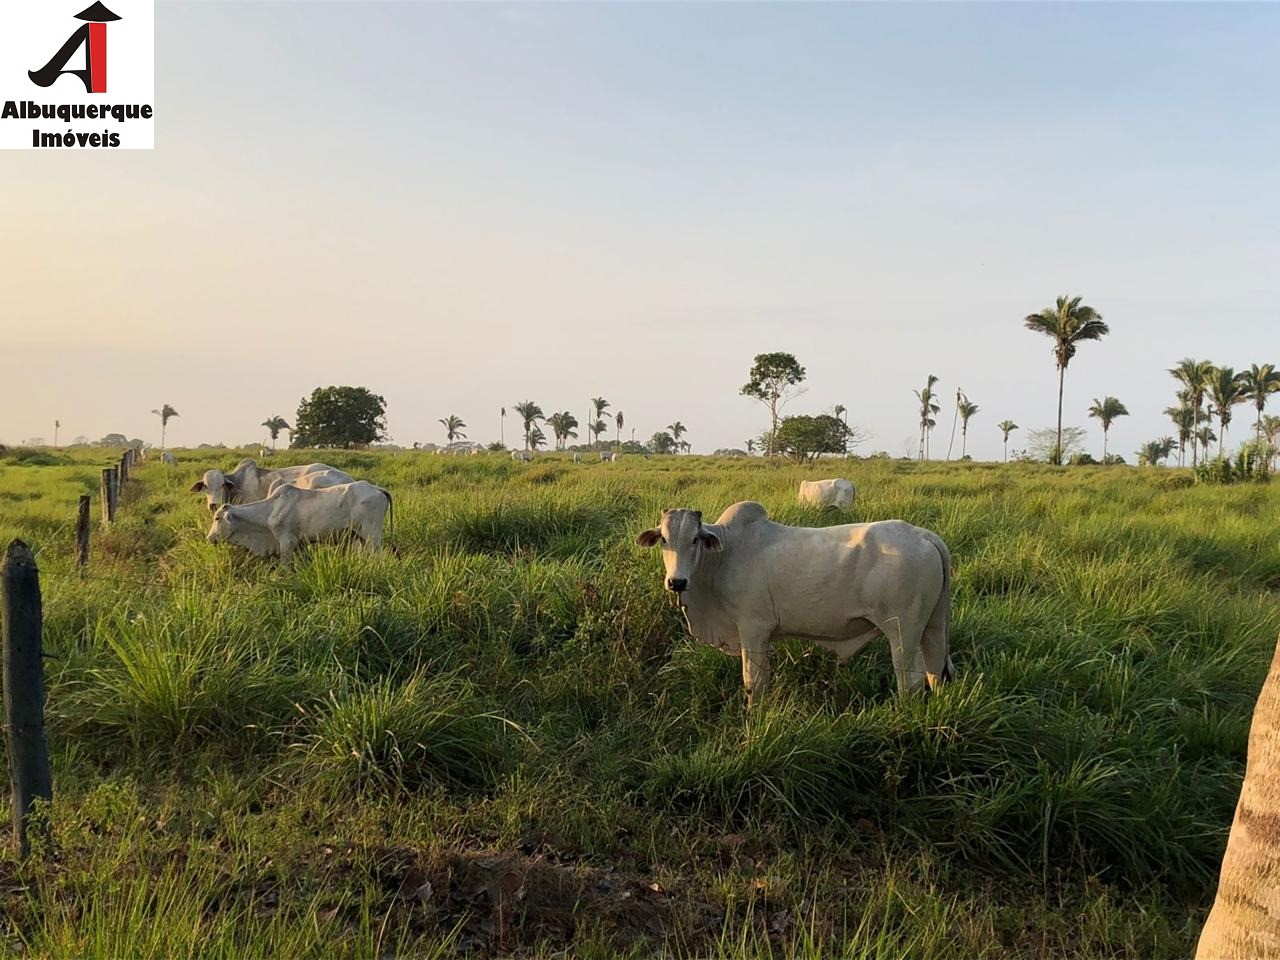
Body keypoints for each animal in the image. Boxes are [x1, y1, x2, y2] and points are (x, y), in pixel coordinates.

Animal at [206, 481, 389, 563]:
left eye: (217, 518)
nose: (209, 538)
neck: (270, 509)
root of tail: (377, 488)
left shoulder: (287, 541)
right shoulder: (299, 544)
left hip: (372, 535)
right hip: (363, 537)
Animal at [632, 504, 952, 706]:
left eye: (695, 539)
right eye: (663, 539)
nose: (677, 582)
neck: (724, 554)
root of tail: (924, 535)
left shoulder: (753, 629)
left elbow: (754, 683)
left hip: (903, 631)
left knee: (910, 681)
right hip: (933, 626)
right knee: (935, 672)